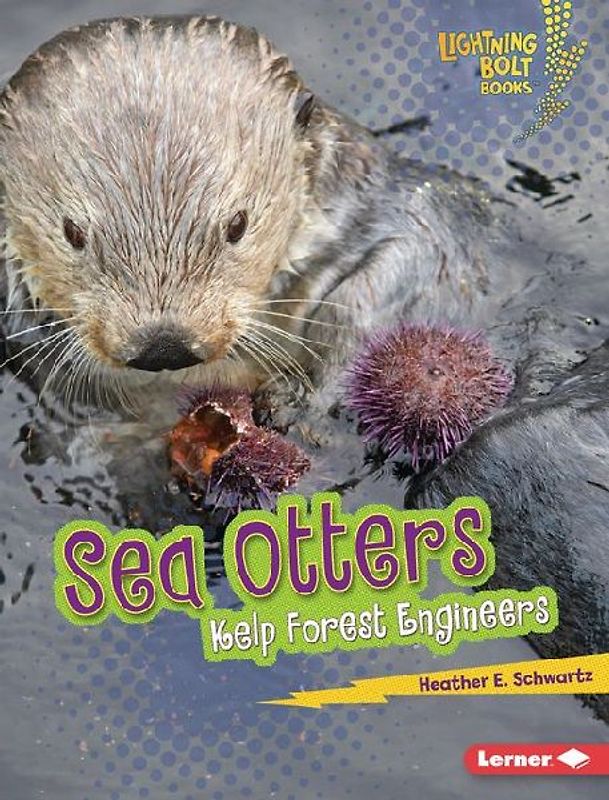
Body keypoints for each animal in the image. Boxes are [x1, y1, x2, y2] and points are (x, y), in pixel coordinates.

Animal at [0, 16, 608, 718]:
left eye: (236, 224)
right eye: (73, 232)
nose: (163, 341)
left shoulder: (414, 234)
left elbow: (389, 281)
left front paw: (310, 405)